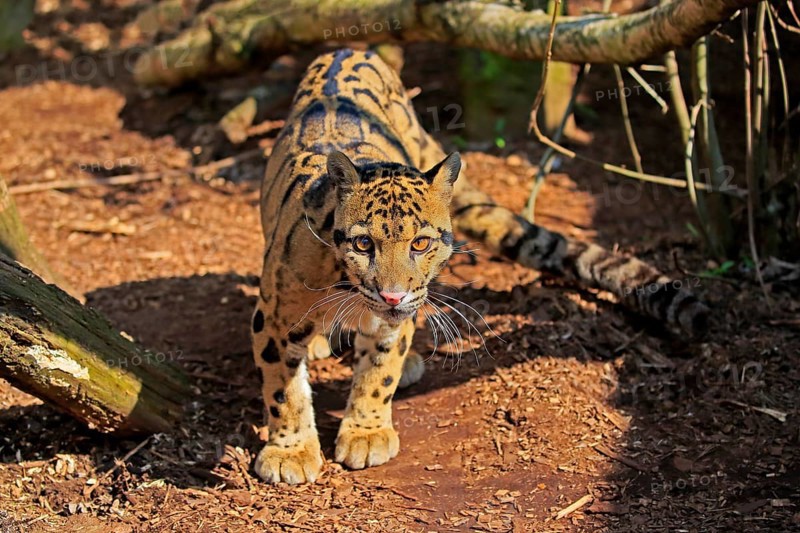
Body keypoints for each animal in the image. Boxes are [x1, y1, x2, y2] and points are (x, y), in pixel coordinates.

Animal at [251, 48, 709, 484]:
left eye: (420, 243)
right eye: (364, 244)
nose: (392, 295)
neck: (346, 286)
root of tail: (352, 49)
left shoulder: (393, 318)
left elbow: (379, 369)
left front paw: (366, 432)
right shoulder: (274, 317)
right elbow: (284, 391)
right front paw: (290, 451)